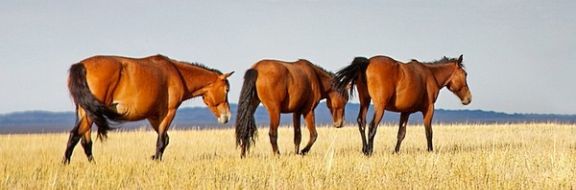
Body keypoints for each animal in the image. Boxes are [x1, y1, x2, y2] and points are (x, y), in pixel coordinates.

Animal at [63, 53, 234, 163]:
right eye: (227, 90)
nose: (227, 117)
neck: (177, 73)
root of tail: (82, 65)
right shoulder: (169, 113)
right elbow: (162, 140)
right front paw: (156, 160)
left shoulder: (153, 116)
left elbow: (165, 139)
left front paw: (154, 158)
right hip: (90, 113)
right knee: (75, 135)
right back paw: (65, 164)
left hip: (85, 111)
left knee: (85, 142)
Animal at [332, 54, 472, 155]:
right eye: (465, 74)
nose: (468, 98)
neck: (431, 75)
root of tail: (367, 62)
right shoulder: (429, 109)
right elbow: (429, 132)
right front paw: (430, 151)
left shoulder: (405, 112)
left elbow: (401, 133)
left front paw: (396, 152)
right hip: (379, 107)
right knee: (372, 126)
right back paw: (369, 151)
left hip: (365, 102)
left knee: (361, 122)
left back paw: (364, 149)